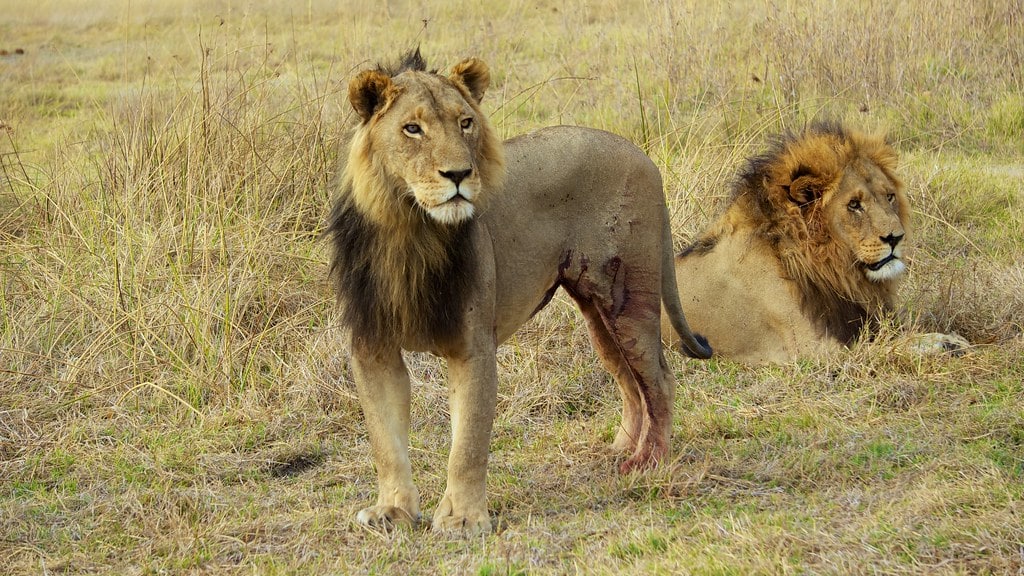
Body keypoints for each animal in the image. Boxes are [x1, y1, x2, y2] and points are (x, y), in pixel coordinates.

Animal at [326, 50, 711, 535]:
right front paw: (392, 510)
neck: (410, 230)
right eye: (412, 129)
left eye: (466, 122)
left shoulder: (473, 346)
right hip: (598, 313)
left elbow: (468, 441)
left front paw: (463, 518)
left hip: (627, 297)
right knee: (629, 382)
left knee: (658, 378)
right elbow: (385, 440)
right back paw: (619, 450)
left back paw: (648, 462)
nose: (458, 174)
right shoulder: (372, 346)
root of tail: (642, 155)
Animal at [662, 121, 968, 364]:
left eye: (889, 197)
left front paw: (947, 337)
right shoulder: (812, 350)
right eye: (854, 205)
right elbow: (883, 346)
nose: (896, 237)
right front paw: (946, 342)